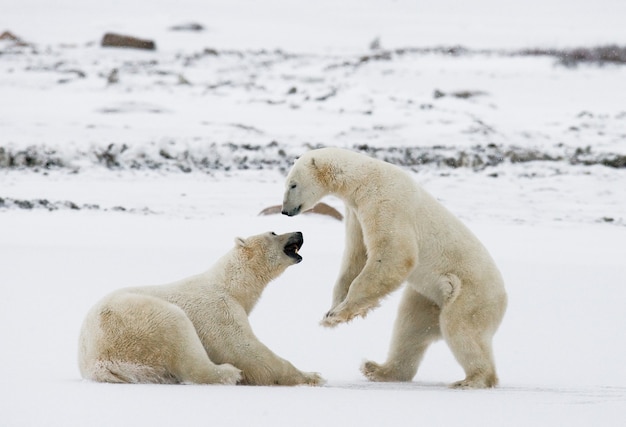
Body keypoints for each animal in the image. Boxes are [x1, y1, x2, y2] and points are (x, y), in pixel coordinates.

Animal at [77, 232, 322, 386]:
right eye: (273, 232)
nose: (299, 232)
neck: (230, 284)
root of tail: (96, 363)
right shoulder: (219, 309)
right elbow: (245, 350)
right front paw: (313, 376)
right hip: (136, 323)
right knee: (181, 339)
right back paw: (229, 373)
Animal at [282, 149, 508, 390]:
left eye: (293, 184)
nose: (285, 210)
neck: (364, 179)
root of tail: (504, 298)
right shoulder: (355, 213)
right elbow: (356, 257)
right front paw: (331, 310)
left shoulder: (386, 202)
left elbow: (394, 254)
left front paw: (337, 315)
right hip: (428, 298)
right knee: (410, 327)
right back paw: (378, 369)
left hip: (470, 295)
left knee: (461, 329)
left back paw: (472, 380)